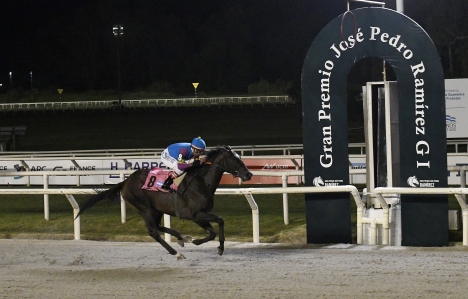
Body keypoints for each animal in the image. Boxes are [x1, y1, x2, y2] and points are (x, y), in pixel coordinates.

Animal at [77, 146, 252, 258]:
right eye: (233, 159)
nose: (249, 174)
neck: (202, 182)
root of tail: (125, 182)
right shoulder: (196, 215)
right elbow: (217, 224)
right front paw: (201, 243)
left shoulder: (200, 216)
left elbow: (214, 229)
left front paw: (208, 244)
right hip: (145, 208)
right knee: (153, 231)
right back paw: (176, 253)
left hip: (156, 209)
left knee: (158, 226)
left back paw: (181, 238)